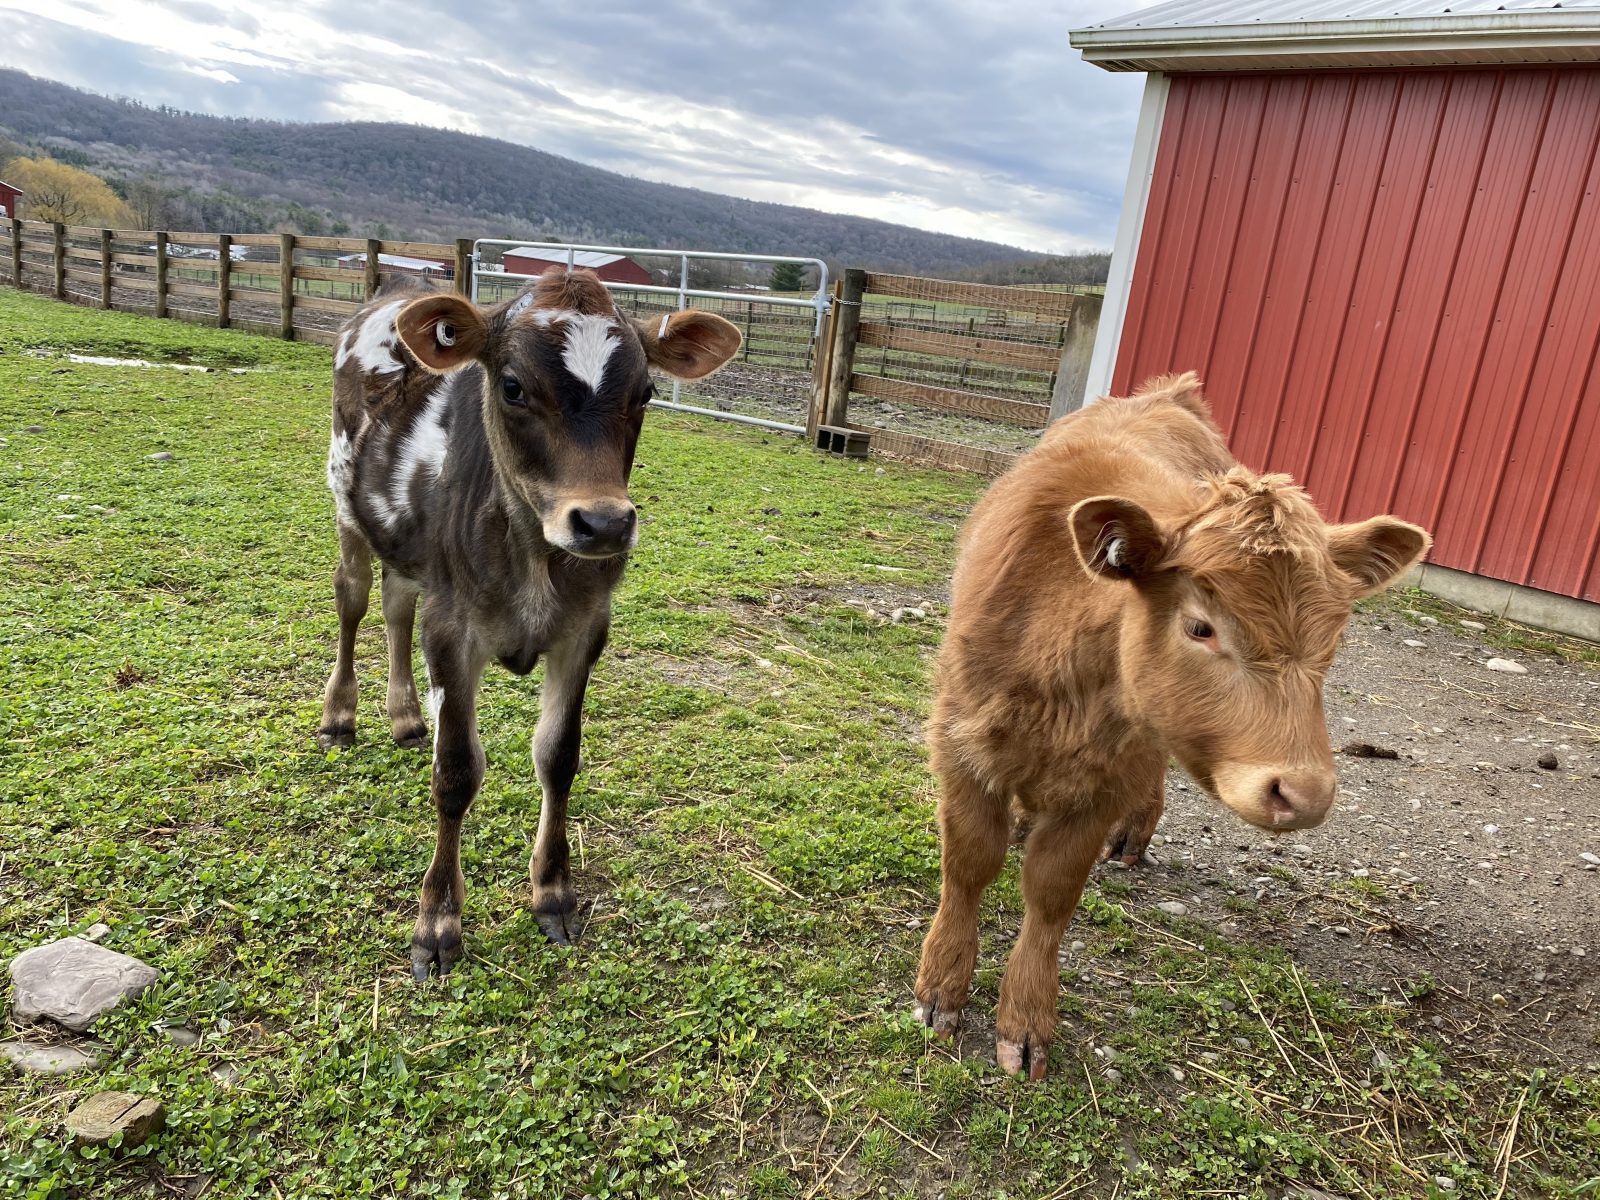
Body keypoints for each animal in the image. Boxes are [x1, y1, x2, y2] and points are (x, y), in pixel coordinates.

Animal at [318, 265, 742, 979]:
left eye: (647, 392)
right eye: (513, 386)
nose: (603, 523)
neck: (534, 561)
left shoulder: (584, 633)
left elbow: (558, 756)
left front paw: (553, 891)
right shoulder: (453, 631)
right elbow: (457, 771)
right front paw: (437, 923)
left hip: (412, 550)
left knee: (396, 603)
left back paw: (405, 716)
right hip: (348, 502)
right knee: (353, 598)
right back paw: (340, 714)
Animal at [921, 374, 1433, 1081]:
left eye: (1333, 641)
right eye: (1200, 626)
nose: (1304, 793)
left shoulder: (1104, 781)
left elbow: (1051, 893)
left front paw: (1025, 1020)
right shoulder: (963, 741)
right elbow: (970, 862)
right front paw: (941, 989)